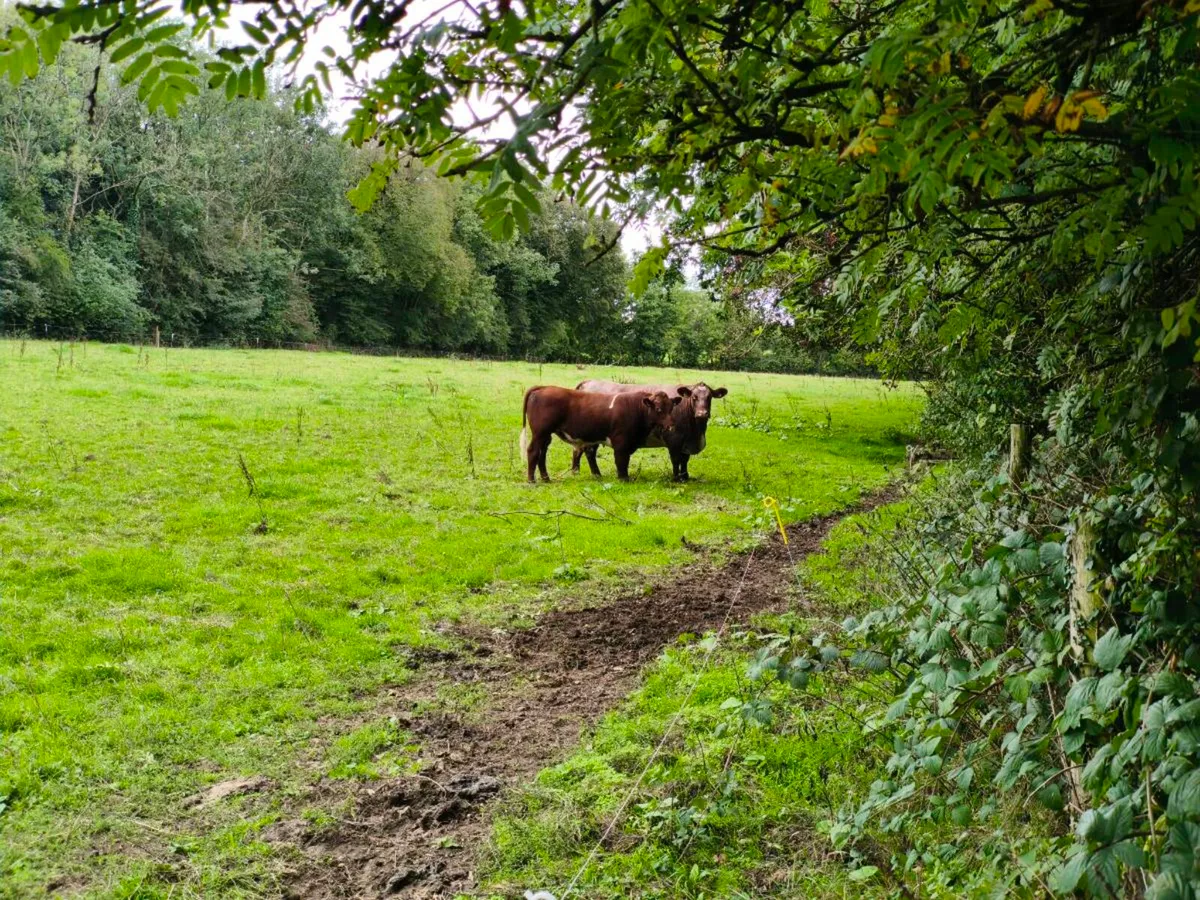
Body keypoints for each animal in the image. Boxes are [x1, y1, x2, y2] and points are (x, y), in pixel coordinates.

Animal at [519, 386, 682, 483]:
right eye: (659, 409)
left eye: (671, 407)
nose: (671, 425)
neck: (637, 408)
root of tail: (544, 387)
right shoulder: (621, 443)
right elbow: (621, 461)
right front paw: (624, 479)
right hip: (540, 432)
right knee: (533, 451)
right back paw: (531, 480)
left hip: (546, 435)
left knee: (542, 453)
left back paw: (546, 478)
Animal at [571, 380, 729, 481]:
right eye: (694, 397)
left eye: (709, 397)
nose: (702, 413)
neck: (696, 432)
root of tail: (588, 382)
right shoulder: (674, 439)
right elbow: (676, 460)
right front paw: (676, 478)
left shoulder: (686, 443)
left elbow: (685, 460)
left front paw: (685, 476)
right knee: (589, 452)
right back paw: (594, 474)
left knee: (580, 450)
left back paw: (579, 472)